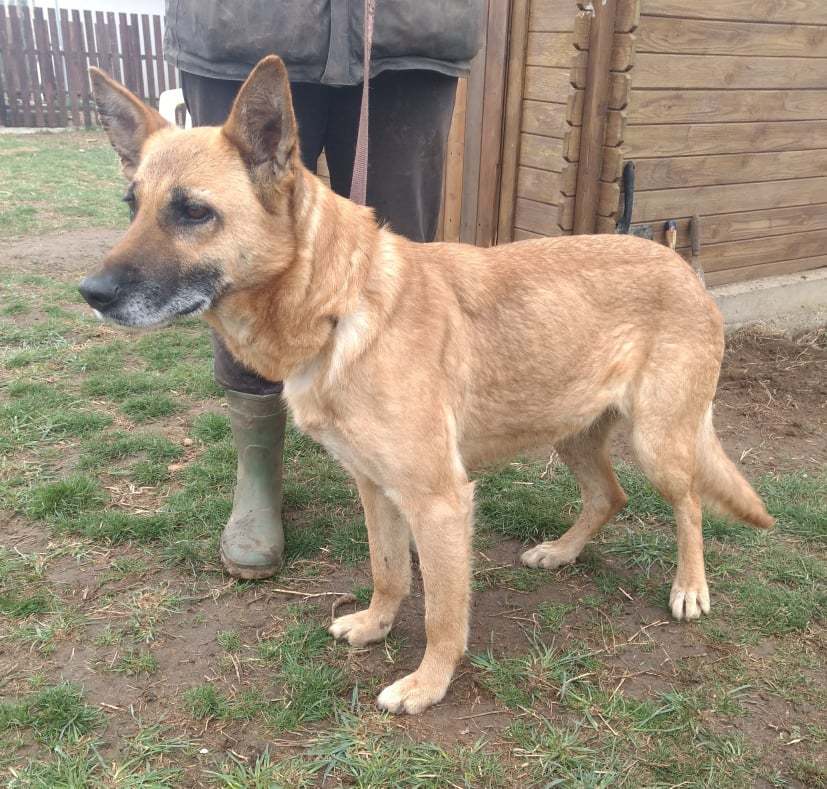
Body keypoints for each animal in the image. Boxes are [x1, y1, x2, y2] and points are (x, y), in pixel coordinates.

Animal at [80, 56, 774, 714]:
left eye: (194, 211)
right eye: (132, 206)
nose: (91, 293)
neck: (342, 307)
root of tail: (678, 262)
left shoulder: (439, 502)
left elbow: (442, 610)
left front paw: (428, 683)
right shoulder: (377, 488)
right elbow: (389, 571)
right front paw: (375, 626)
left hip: (658, 441)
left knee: (688, 505)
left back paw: (689, 588)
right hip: (570, 431)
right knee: (610, 496)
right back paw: (561, 553)